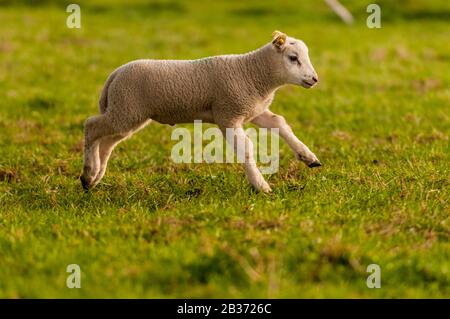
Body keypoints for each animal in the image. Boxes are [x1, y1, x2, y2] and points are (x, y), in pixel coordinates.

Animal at [80, 31, 320, 194]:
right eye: (293, 58)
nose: (314, 79)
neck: (254, 73)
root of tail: (115, 73)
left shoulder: (253, 111)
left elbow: (280, 123)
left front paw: (308, 157)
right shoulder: (228, 115)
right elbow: (246, 148)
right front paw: (261, 186)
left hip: (126, 112)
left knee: (107, 141)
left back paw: (95, 177)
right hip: (126, 110)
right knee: (92, 126)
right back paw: (88, 173)